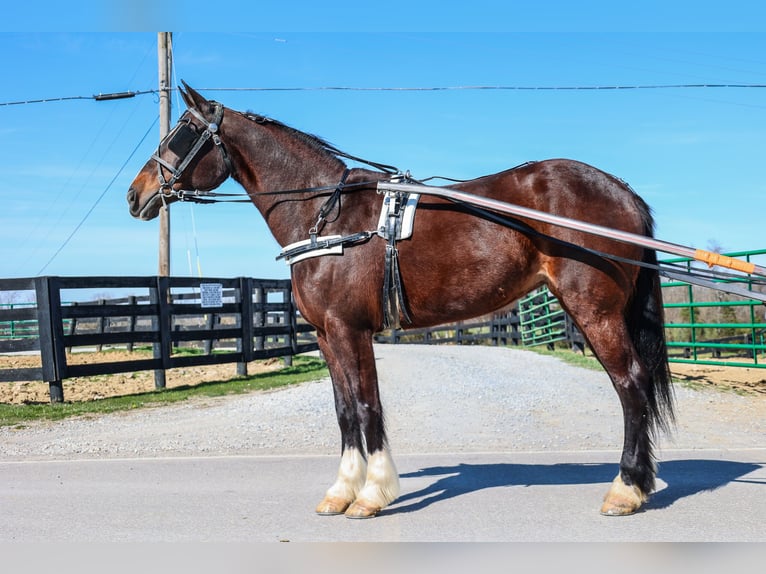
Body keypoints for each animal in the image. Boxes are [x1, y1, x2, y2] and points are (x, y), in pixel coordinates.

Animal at [129, 83, 676, 520]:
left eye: (181, 132)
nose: (136, 195)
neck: (327, 214)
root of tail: (621, 191)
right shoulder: (326, 335)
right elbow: (344, 410)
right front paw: (341, 491)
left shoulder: (350, 329)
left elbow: (367, 406)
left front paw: (372, 494)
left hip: (595, 311)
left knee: (631, 385)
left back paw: (626, 488)